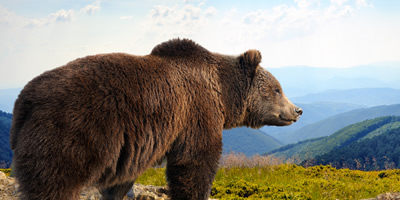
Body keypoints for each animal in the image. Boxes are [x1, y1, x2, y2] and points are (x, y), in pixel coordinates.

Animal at [10, 38, 304, 199]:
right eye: (277, 89)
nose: (297, 111)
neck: (223, 94)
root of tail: (25, 99)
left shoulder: (133, 147)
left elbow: (121, 180)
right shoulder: (196, 113)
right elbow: (195, 164)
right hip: (71, 132)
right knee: (54, 183)